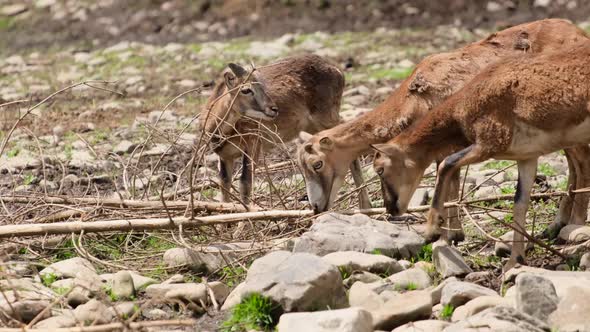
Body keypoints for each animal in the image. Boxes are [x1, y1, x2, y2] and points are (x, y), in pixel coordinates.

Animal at [201, 54, 372, 210]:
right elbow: (224, 186)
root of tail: (337, 71)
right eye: (246, 89)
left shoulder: (253, 144)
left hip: (327, 119)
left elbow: (245, 183)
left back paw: (365, 206)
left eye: (261, 86)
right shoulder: (225, 156)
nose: (273, 109)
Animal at [298, 18, 590, 243]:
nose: (315, 207)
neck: (413, 99)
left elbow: (449, 181)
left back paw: (573, 224)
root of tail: (579, 33)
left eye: (316, 164)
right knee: (574, 164)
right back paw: (556, 226)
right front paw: (452, 233)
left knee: (579, 162)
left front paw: (449, 234)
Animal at [372, 42, 590, 270]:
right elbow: (520, 202)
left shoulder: (490, 141)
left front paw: (432, 231)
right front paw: (514, 262)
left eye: (380, 170)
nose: (391, 208)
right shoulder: (527, 156)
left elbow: (446, 163)